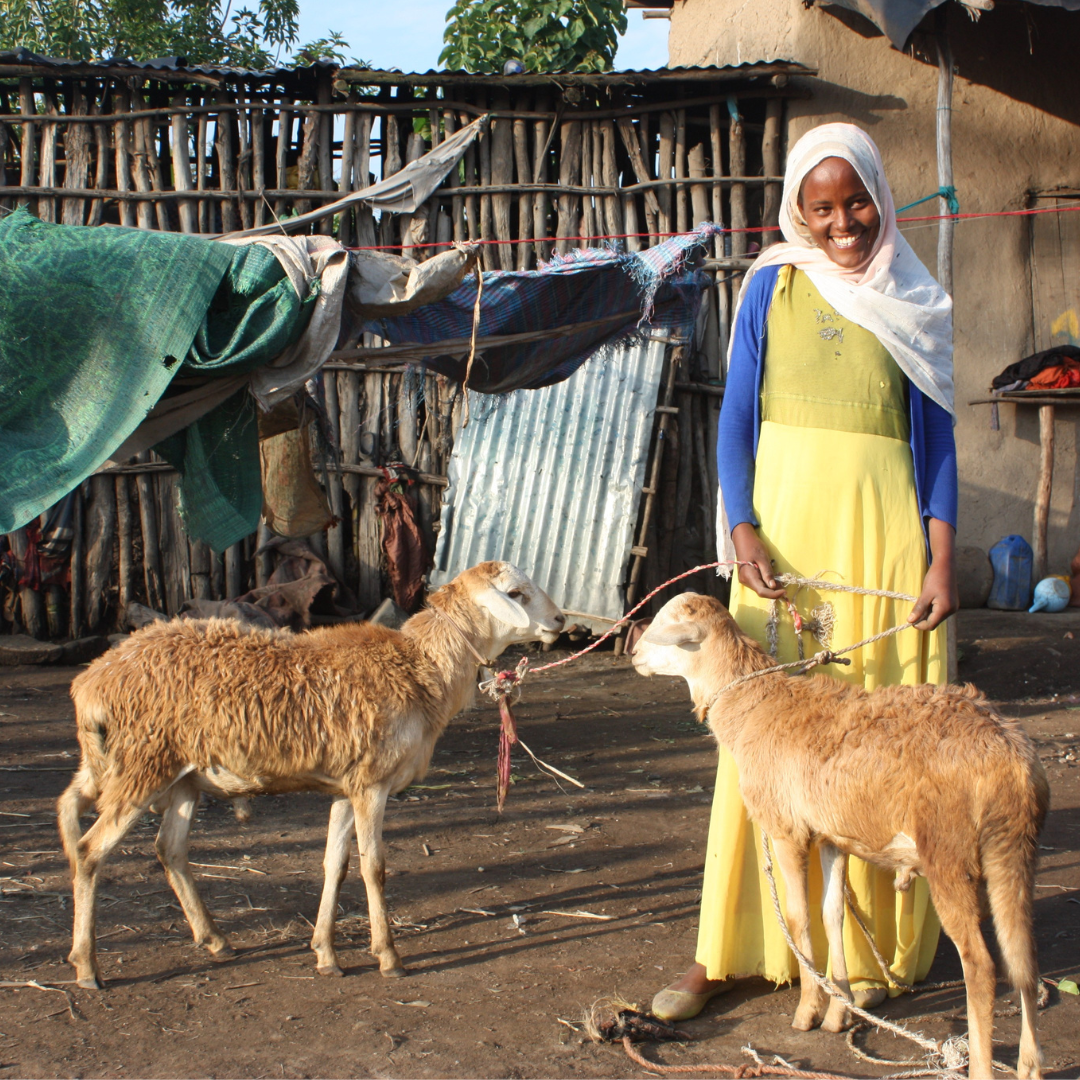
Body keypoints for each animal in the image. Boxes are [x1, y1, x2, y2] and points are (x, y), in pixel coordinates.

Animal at [58, 561, 564, 990]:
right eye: (515, 593)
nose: (560, 621)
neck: (421, 668)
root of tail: (89, 682)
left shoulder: (346, 786)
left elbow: (334, 864)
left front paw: (325, 953)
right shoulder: (372, 784)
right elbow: (374, 867)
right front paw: (388, 956)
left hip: (159, 772)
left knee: (152, 841)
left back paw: (215, 940)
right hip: (141, 765)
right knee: (90, 850)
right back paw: (86, 966)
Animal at [631, 592, 1048, 1080]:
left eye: (666, 625)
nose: (633, 654)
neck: (755, 707)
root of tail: (1012, 758)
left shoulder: (788, 830)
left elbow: (798, 918)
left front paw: (808, 1010)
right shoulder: (831, 837)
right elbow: (833, 915)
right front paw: (839, 1010)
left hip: (950, 853)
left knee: (980, 966)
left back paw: (981, 1063)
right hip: (1014, 851)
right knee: (1023, 961)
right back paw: (1029, 1064)